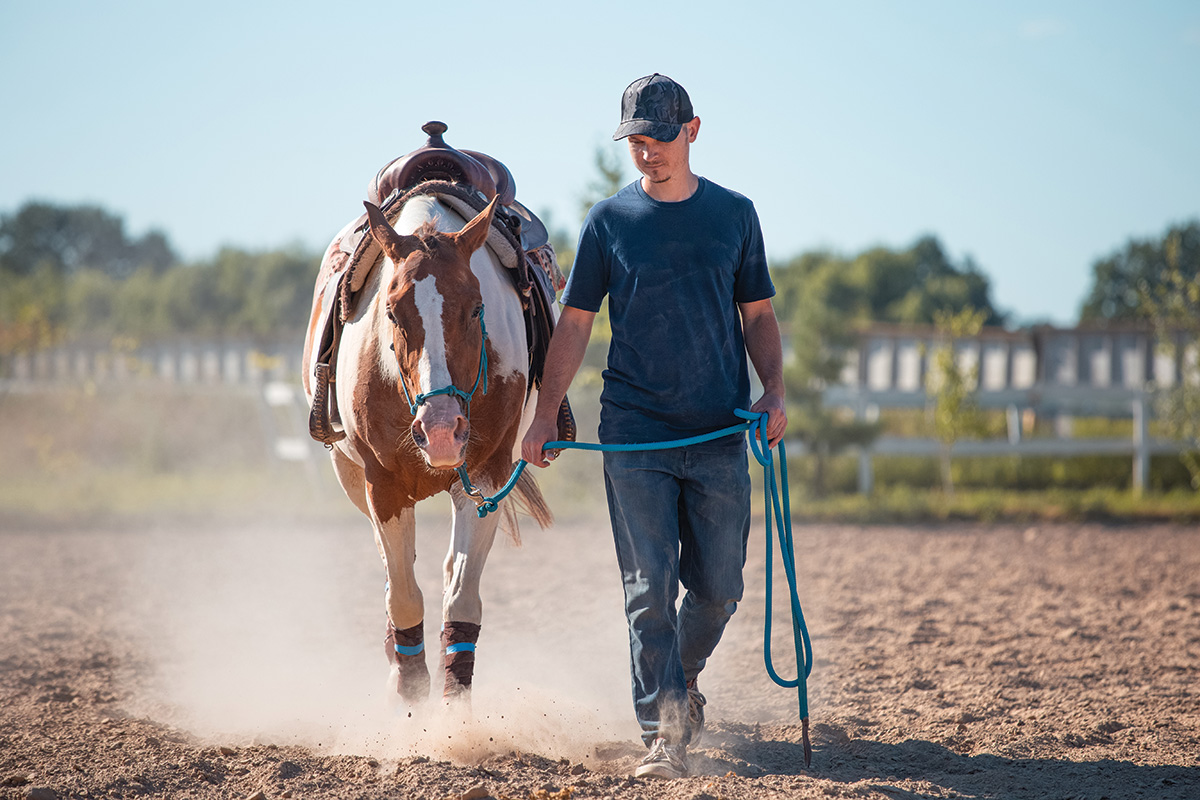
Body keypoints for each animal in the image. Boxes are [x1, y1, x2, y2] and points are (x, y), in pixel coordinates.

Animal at [307, 194, 554, 705]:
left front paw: (454, 710)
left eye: (477, 309)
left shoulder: (487, 478)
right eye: (393, 313)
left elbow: (461, 597)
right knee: (392, 575)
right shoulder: (381, 487)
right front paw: (411, 693)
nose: (440, 431)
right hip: (351, 479)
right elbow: (402, 595)